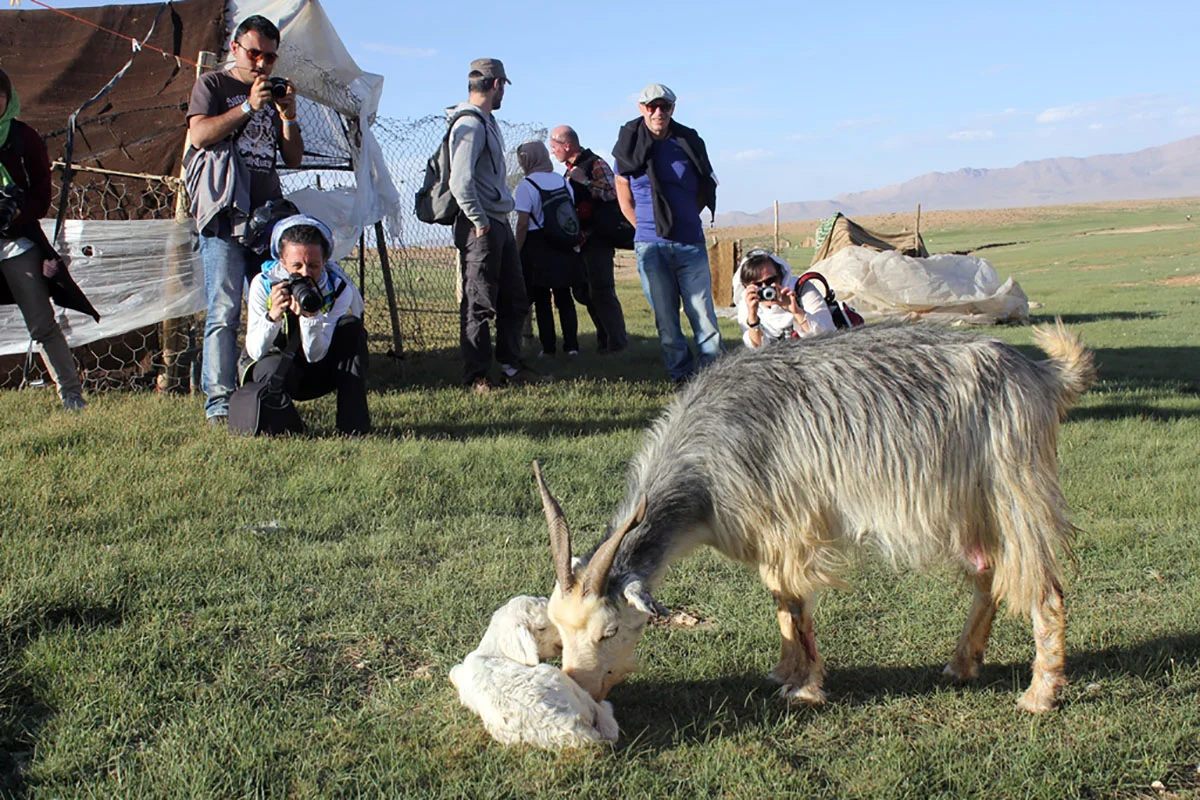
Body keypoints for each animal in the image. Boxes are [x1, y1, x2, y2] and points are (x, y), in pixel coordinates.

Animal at [540, 321, 1099, 714]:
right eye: (558, 630)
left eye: (610, 631)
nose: (578, 687)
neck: (707, 461)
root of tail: (1041, 375)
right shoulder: (767, 536)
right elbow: (780, 602)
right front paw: (783, 672)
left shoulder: (791, 528)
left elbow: (796, 603)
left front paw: (806, 688)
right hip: (969, 505)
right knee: (988, 575)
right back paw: (962, 665)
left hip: (1014, 487)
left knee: (1044, 589)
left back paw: (1041, 694)